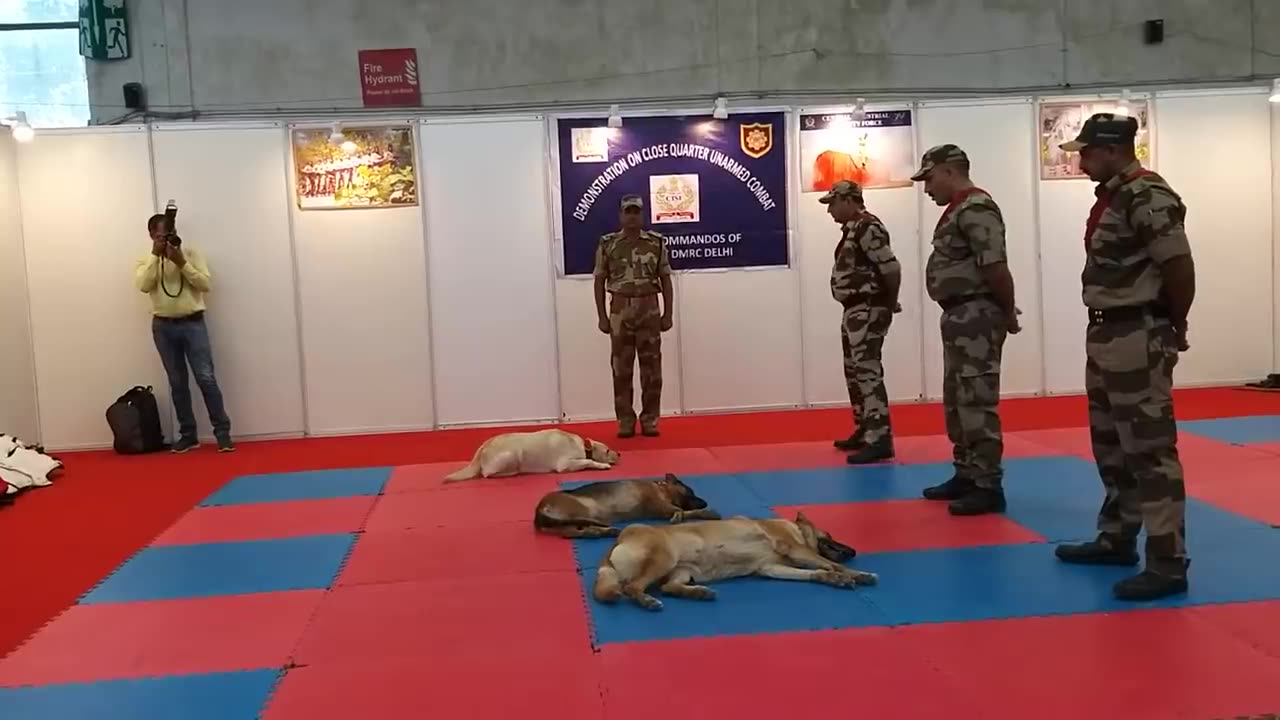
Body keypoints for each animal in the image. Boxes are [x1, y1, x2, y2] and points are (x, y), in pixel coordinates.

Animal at [440, 427, 619, 479]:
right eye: (607, 450)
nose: (620, 454)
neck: (581, 446)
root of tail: (483, 446)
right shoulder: (565, 464)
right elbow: (589, 461)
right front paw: (602, 465)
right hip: (512, 455)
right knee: (486, 473)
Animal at [535, 474, 727, 535]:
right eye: (690, 492)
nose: (705, 502)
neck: (661, 488)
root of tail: (540, 510)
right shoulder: (663, 507)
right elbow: (683, 511)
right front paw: (706, 513)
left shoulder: (662, 509)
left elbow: (682, 511)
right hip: (583, 511)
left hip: (569, 524)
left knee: (578, 532)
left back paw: (603, 532)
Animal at [591, 507, 875, 607]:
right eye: (830, 535)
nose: (853, 551)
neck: (793, 529)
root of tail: (619, 539)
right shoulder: (797, 549)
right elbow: (831, 563)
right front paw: (857, 574)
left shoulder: (771, 567)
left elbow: (815, 572)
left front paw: (832, 578)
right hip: (665, 558)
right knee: (632, 587)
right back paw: (647, 601)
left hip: (683, 570)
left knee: (669, 587)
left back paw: (698, 593)